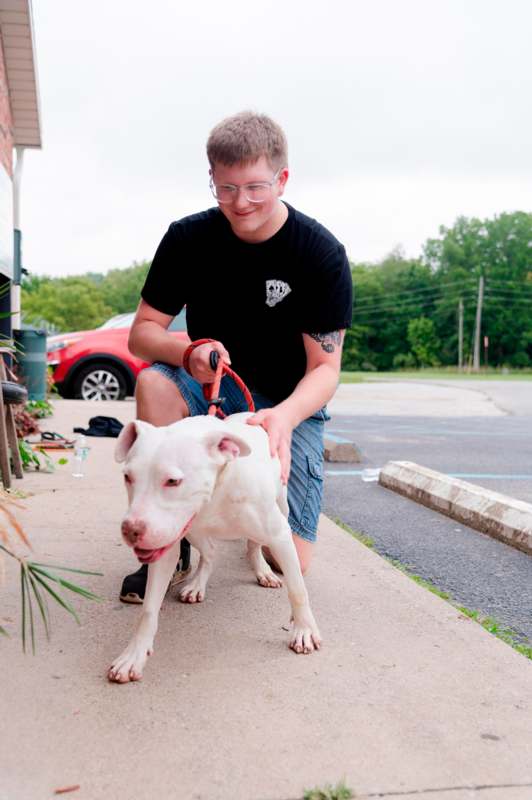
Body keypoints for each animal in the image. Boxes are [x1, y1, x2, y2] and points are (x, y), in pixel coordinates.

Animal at [109, 412, 320, 680]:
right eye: (128, 477)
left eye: (173, 481)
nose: (130, 529)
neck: (219, 487)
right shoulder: (166, 545)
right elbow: (148, 611)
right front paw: (134, 655)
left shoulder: (280, 534)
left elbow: (298, 590)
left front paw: (304, 629)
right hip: (194, 531)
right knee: (210, 554)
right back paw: (197, 584)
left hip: (280, 506)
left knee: (253, 545)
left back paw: (262, 570)